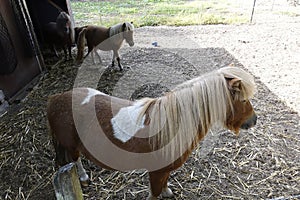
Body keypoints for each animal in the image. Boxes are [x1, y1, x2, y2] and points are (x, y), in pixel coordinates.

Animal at [47, 67, 258, 200]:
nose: (254, 120)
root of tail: (55, 98)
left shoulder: (164, 170)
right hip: (71, 145)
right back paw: (83, 178)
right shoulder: (156, 172)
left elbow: (165, 183)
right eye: (243, 100)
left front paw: (167, 192)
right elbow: (154, 193)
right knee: (76, 160)